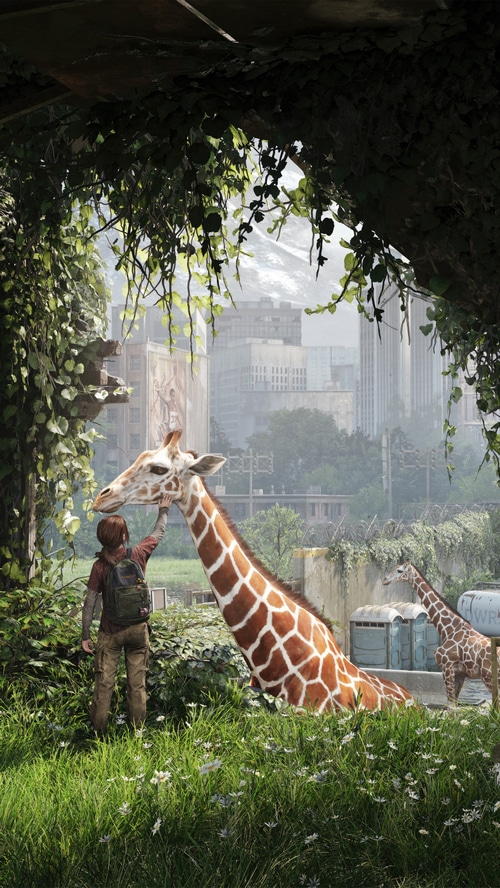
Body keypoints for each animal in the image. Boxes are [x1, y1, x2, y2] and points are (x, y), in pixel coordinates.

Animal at [382, 560, 499, 704]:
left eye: (399, 570)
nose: (384, 580)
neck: (448, 629)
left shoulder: (447, 667)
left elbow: (450, 704)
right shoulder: (460, 673)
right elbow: (453, 704)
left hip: (489, 677)